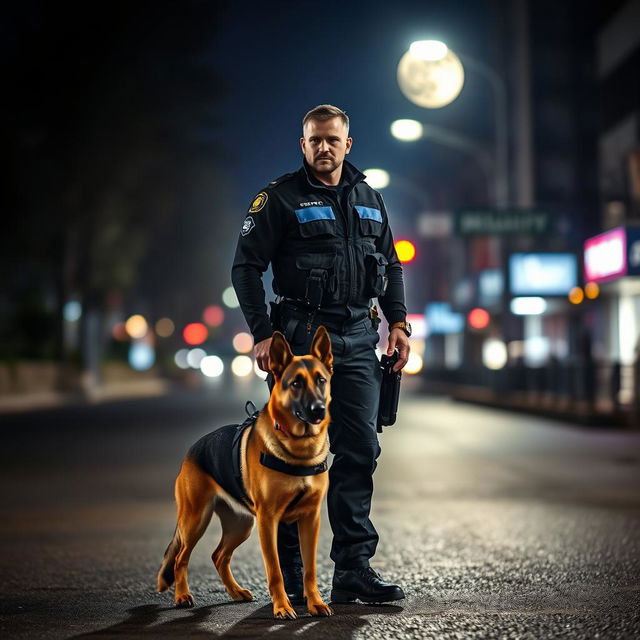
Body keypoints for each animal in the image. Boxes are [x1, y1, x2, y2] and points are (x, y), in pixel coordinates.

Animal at [157, 328, 332, 616]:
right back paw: (182, 596)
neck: (298, 448)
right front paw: (281, 607)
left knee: (219, 556)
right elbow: (275, 571)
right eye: (295, 383)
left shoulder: (310, 519)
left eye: (321, 380)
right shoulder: (268, 521)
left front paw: (315, 602)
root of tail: (194, 448)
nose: (318, 410)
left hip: (241, 525)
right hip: (196, 520)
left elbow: (310, 569)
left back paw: (235, 591)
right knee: (181, 557)